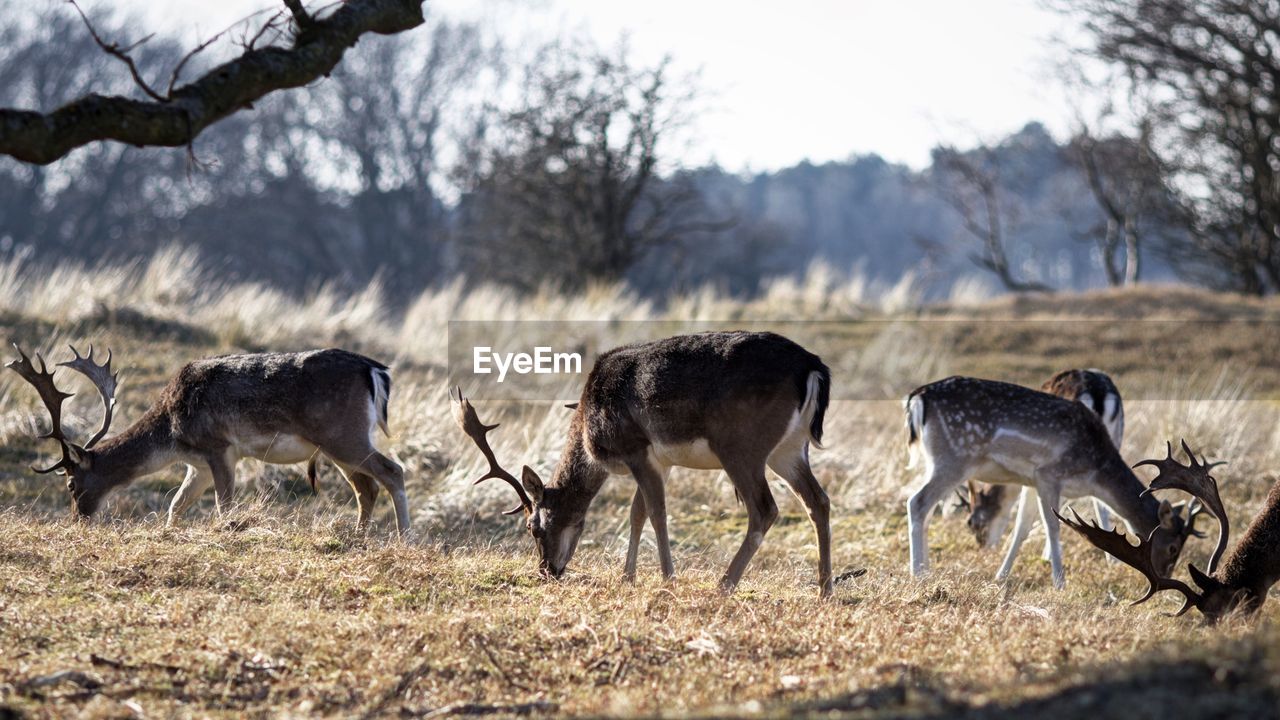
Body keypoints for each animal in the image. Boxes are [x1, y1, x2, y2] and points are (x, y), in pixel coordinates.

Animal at [3, 340, 404, 532]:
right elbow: (175, 506)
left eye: (71, 484)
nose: (78, 519)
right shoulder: (196, 466)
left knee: (393, 472)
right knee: (366, 487)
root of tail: (375, 370)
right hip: (339, 444)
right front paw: (170, 532)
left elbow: (224, 506)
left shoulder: (219, 448)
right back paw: (359, 536)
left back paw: (404, 536)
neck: (171, 433)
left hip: (344, 435)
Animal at [455, 330, 834, 594]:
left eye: (533, 526)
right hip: (789, 449)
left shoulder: (636, 447)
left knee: (765, 508)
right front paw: (628, 577)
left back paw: (723, 585)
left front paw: (667, 578)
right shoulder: (660, 461)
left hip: (741, 445)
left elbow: (656, 512)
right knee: (819, 501)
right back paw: (825, 590)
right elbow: (636, 513)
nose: (546, 570)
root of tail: (813, 368)